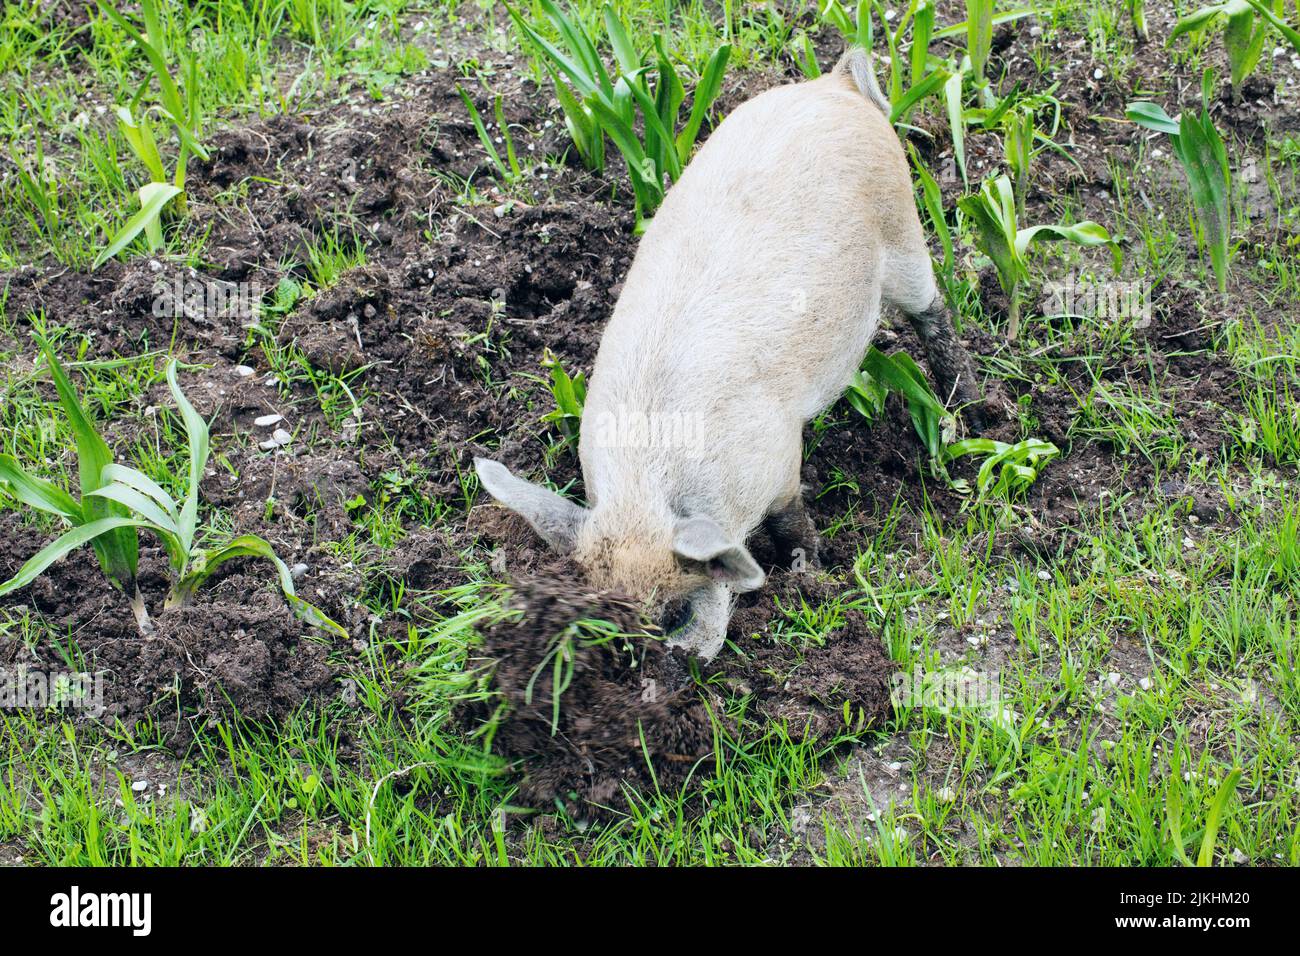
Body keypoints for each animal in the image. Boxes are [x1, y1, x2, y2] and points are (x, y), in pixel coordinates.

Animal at [475, 49, 984, 660]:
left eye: (674, 615)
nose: (675, 666)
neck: (650, 486)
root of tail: (835, 85)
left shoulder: (780, 454)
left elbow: (791, 520)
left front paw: (810, 574)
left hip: (903, 225)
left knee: (933, 313)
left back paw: (979, 409)